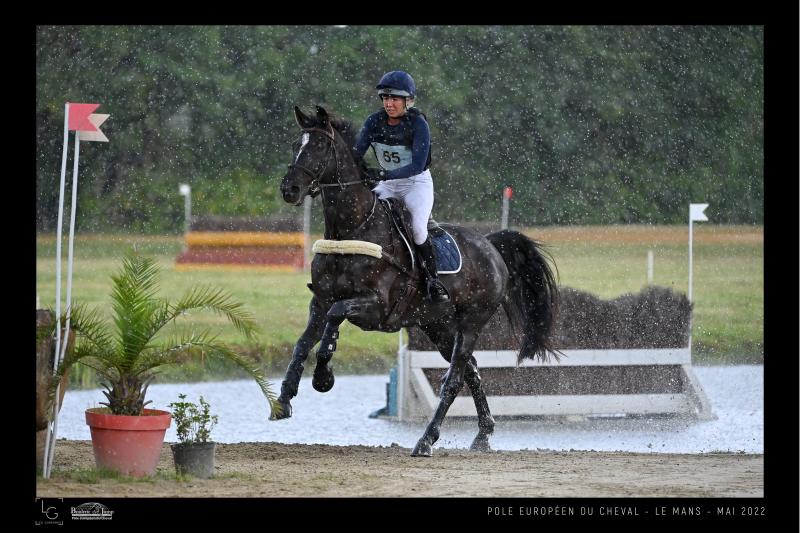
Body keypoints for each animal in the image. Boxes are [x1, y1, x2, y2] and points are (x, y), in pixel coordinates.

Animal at [273, 105, 560, 457]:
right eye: (296, 145)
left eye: (319, 146)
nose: (289, 190)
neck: (352, 228)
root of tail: (491, 246)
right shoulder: (321, 300)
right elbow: (303, 342)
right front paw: (284, 399)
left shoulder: (375, 306)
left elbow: (334, 318)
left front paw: (323, 377)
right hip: (438, 326)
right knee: (471, 371)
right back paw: (482, 434)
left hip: (471, 323)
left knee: (454, 379)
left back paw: (426, 440)